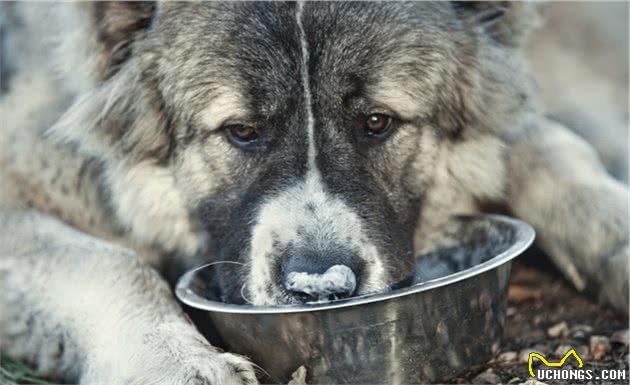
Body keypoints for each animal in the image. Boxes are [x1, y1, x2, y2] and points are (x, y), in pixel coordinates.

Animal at [0, 3, 628, 384]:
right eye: (242, 131)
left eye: (376, 122)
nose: (321, 287)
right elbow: (110, 263)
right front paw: (175, 363)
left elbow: (552, 149)